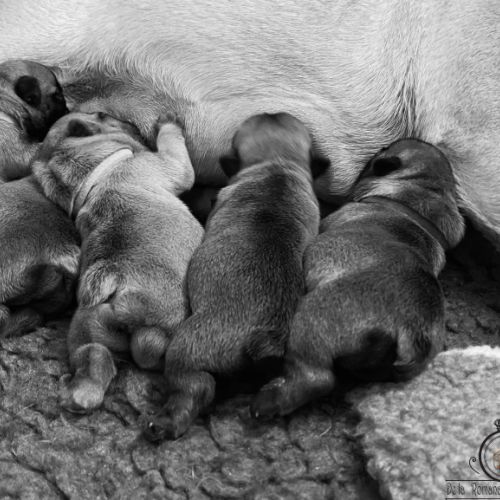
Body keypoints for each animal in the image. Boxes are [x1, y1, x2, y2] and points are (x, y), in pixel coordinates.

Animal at [32, 111, 204, 413]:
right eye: (102, 115)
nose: (128, 120)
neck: (96, 174)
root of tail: (120, 296)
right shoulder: (166, 163)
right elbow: (175, 151)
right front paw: (168, 124)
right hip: (164, 323)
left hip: (88, 327)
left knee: (94, 355)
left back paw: (79, 395)